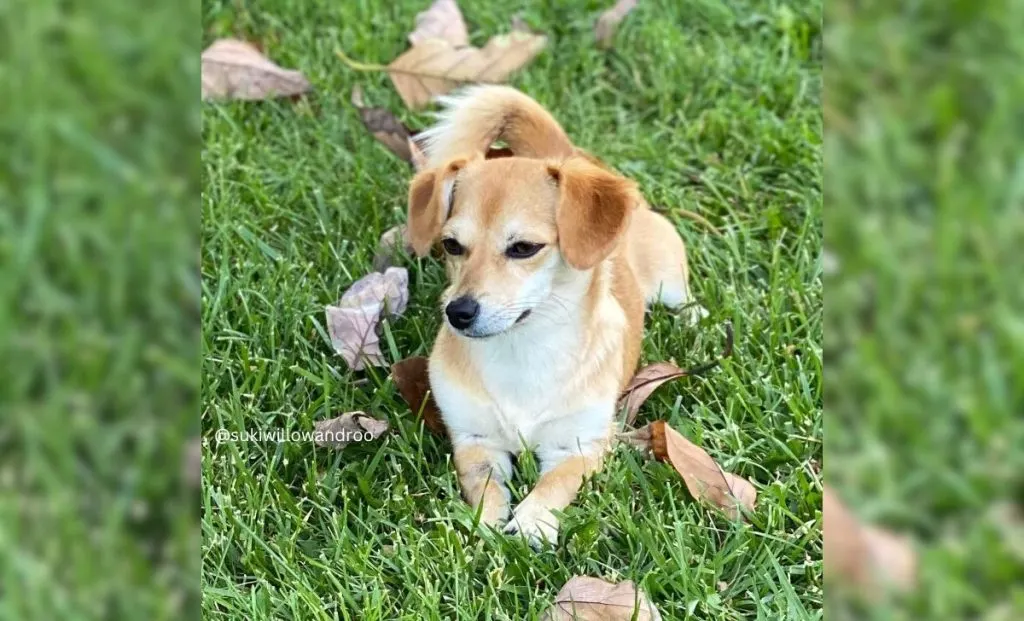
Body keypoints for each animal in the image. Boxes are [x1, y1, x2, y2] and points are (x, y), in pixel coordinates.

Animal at [403, 86, 708, 545]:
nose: (458, 312)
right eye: (452, 245)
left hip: (668, 280)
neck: (522, 351)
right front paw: (488, 526)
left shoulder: (578, 447)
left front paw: (531, 524)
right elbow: (485, 486)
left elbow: (554, 485)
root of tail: (568, 155)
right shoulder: (476, 441)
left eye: (524, 248)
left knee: (686, 300)